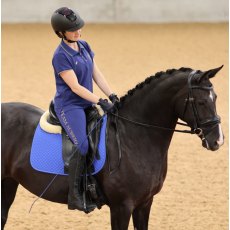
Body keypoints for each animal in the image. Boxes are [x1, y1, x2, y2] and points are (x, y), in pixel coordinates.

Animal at [1, 65, 225, 229]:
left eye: (215, 98)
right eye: (201, 102)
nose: (218, 141)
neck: (133, 137)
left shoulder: (145, 203)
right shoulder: (121, 206)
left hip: (8, 183)